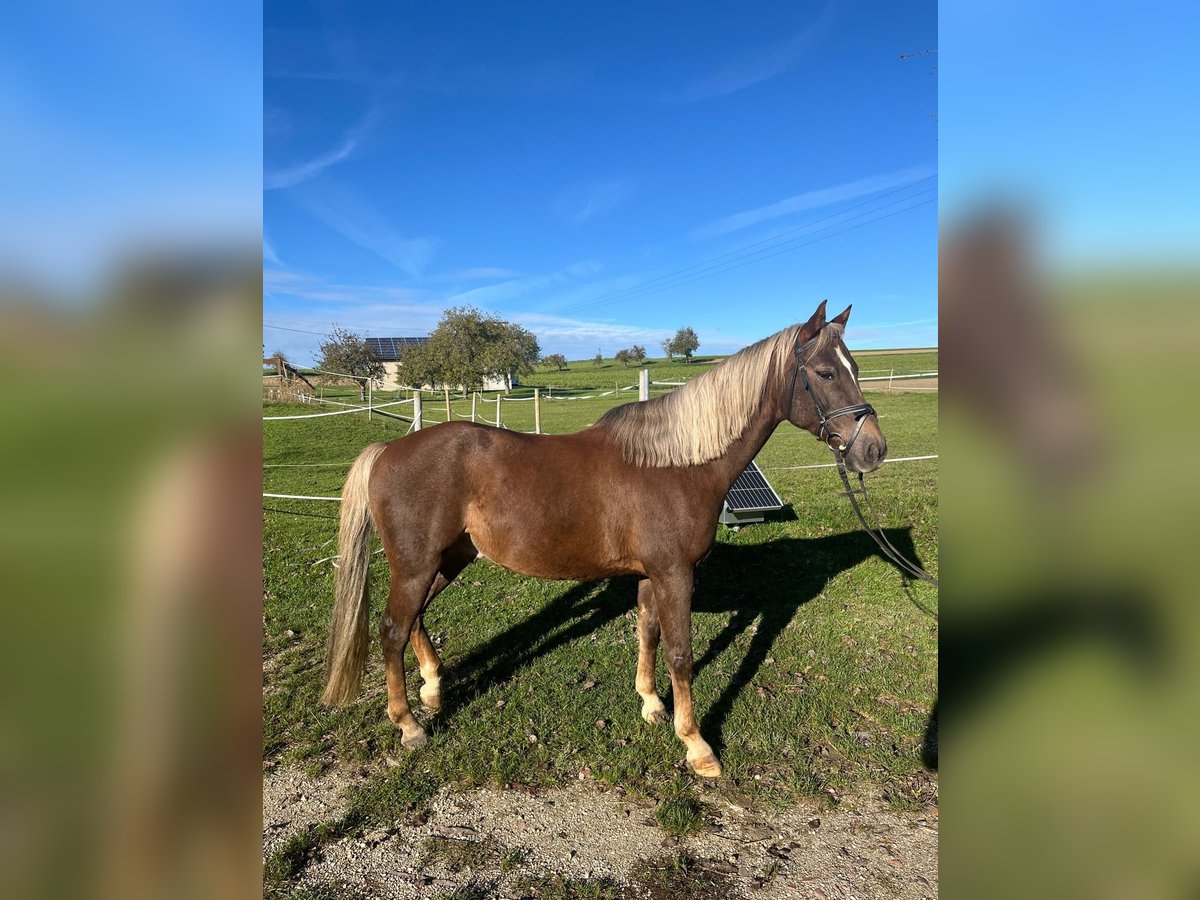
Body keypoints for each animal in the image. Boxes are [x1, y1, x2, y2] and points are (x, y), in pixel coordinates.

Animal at [324, 300, 888, 777]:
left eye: (856, 368)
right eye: (825, 373)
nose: (874, 450)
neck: (677, 464)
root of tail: (388, 449)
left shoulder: (651, 576)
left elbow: (648, 635)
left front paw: (652, 704)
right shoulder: (676, 575)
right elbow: (681, 653)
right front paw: (697, 745)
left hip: (448, 559)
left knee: (414, 619)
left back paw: (434, 689)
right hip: (418, 565)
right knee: (392, 629)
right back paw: (409, 726)